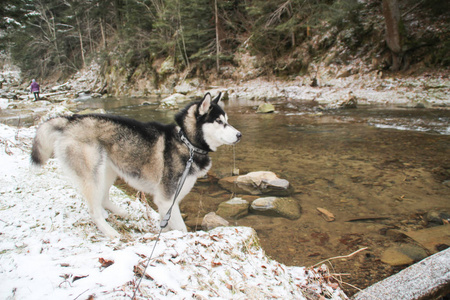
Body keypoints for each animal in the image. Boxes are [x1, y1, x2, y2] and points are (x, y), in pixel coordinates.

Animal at [30, 92, 243, 238]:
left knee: (104, 198)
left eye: (227, 121)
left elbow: (166, 226)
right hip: (93, 175)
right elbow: (181, 229)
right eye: (219, 122)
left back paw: (123, 213)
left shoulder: (168, 203)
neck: (187, 142)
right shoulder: (166, 199)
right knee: (94, 210)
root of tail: (71, 120)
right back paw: (110, 232)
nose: (240, 135)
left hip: (108, 170)